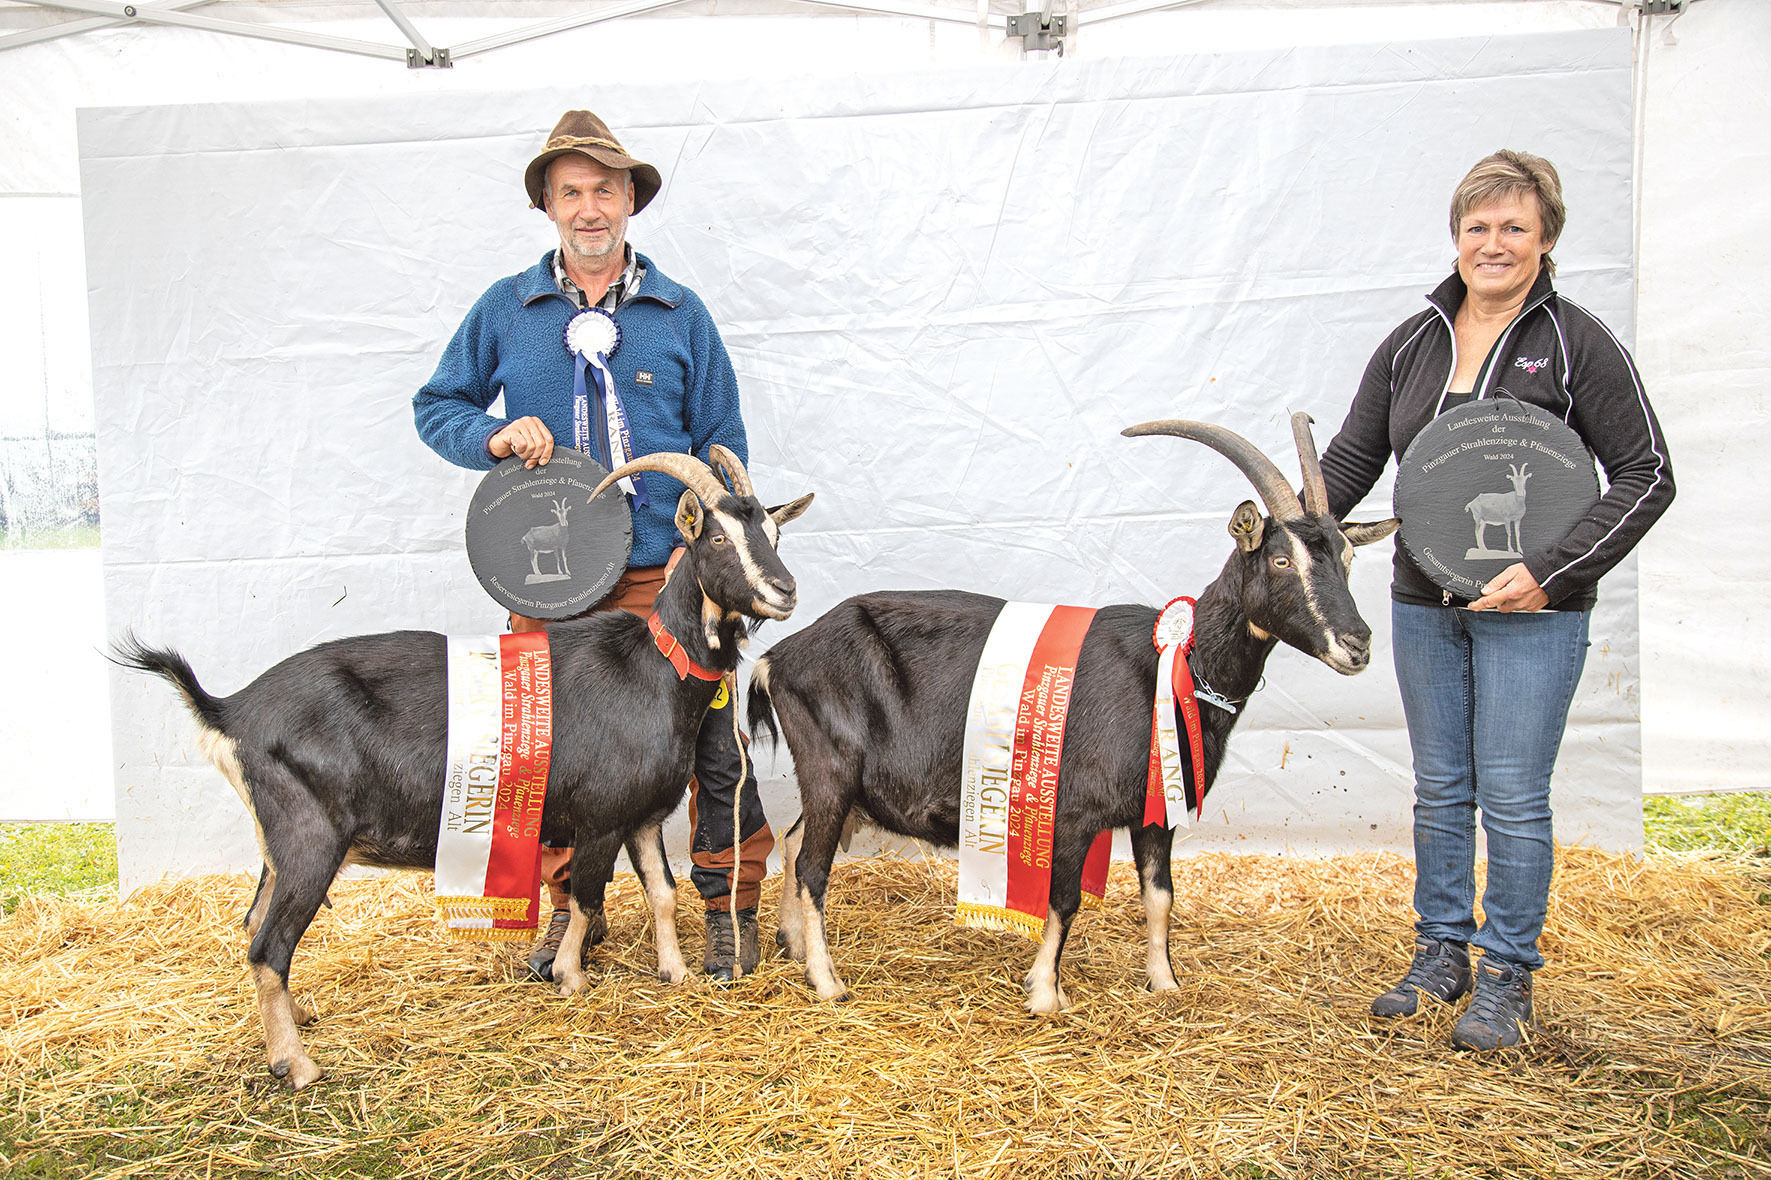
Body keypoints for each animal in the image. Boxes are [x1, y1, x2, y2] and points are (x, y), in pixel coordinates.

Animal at [119, 448, 814, 1084]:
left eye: (775, 533)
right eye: (719, 536)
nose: (785, 590)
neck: (655, 668)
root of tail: (230, 710)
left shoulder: (643, 814)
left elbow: (664, 894)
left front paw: (675, 972)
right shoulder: (599, 817)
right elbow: (586, 896)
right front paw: (570, 976)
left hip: (277, 845)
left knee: (253, 928)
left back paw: (298, 1021)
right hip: (308, 838)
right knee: (268, 946)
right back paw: (296, 1063)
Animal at [747, 416, 1395, 1013]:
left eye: (1347, 558)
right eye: (1282, 559)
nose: (1357, 644)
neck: (1175, 666)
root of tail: (780, 658)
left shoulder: (1157, 813)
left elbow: (1160, 896)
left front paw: (1165, 983)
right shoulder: (1073, 812)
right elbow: (1065, 900)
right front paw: (1044, 993)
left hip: (839, 785)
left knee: (795, 844)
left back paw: (793, 946)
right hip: (831, 769)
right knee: (812, 866)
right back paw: (826, 981)